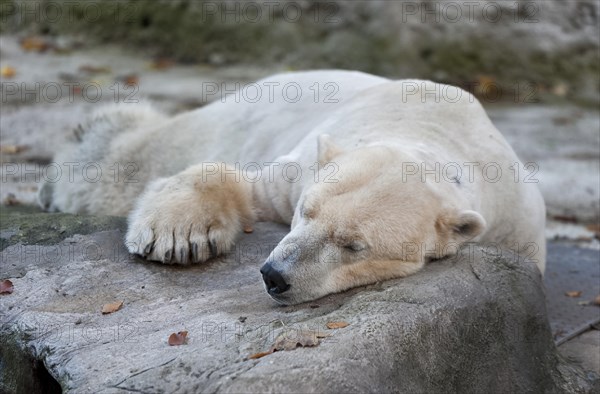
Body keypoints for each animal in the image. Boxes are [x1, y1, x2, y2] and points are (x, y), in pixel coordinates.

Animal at [36, 70, 544, 304]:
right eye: (306, 210)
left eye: (353, 245)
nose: (274, 275)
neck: (432, 131)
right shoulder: (297, 167)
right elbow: (244, 184)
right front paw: (177, 236)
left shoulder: (517, 226)